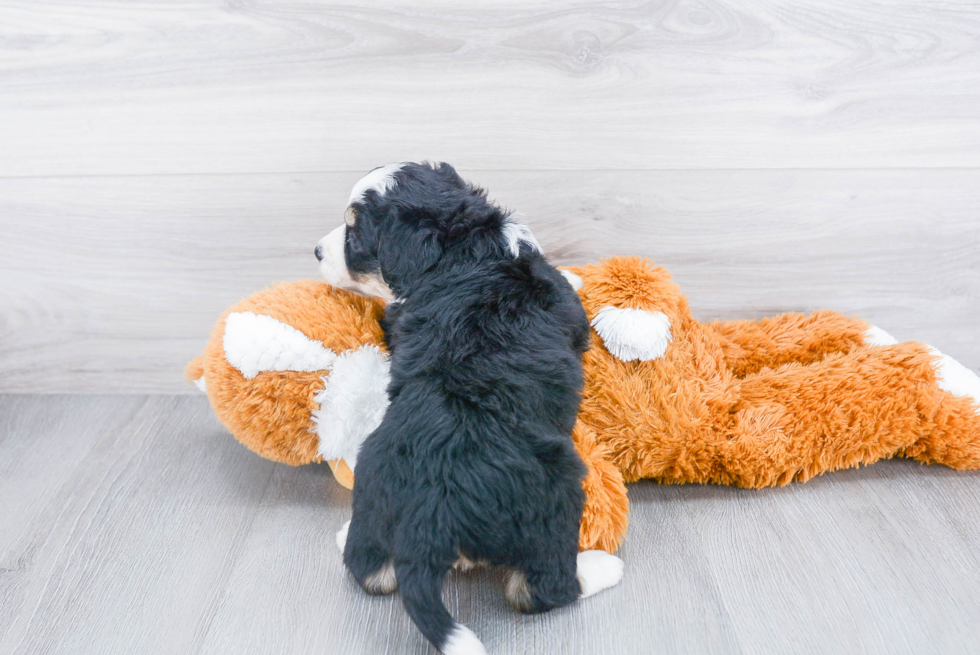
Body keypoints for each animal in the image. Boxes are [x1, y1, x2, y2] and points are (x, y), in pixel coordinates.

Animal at [318, 163, 624, 655]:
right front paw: (578, 276)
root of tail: (427, 518)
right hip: (557, 491)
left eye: (354, 234)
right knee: (539, 589)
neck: (464, 249)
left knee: (368, 571)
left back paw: (351, 534)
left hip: (373, 470)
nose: (315, 251)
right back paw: (600, 568)